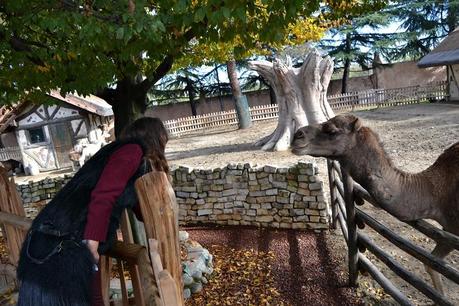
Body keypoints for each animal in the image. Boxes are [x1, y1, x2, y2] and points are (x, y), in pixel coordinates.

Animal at [292, 113, 458, 296]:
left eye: (332, 130)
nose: (297, 135)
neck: (435, 191)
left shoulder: (453, 227)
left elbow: (432, 264)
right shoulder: (449, 229)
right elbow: (430, 264)